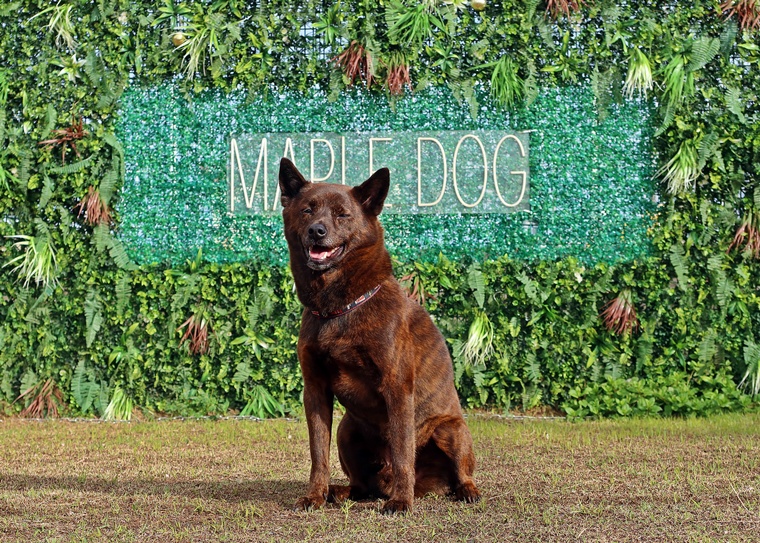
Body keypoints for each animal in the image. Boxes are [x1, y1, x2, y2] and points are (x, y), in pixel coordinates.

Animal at [279, 157, 480, 514]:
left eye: (342, 214)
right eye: (307, 210)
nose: (317, 231)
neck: (340, 307)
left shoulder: (397, 387)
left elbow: (401, 451)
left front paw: (401, 502)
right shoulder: (315, 390)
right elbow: (318, 453)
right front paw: (314, 495)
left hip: (451, 429)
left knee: (459, 472)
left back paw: (460, 491)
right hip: (347, 429)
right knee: (363, 486)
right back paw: (341, 492)